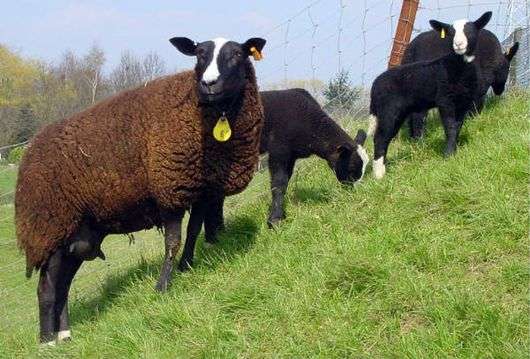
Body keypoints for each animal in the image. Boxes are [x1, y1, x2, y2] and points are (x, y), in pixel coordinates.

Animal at [16, 35, 266, 346]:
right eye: (199, 54)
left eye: (237, 54)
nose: (209, 84)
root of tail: (27, 154)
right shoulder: (169, 189)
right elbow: (172, 242)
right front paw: (162, 287)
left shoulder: (200, 190)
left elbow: (193, 232)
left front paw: (187, 266)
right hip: (50, 226)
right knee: (46, 287)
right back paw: (47, 340)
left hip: (77, 236)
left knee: (62, 284)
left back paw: (65, 334)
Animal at [368, 11, 490, 180]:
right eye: (450, 33)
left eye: (470, 31)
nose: (458, 44)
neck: (458, 67)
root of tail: (375, 85)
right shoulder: (445, 100)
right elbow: (450, 126)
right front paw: (448, 155)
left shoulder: (463, 102)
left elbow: (458, 126)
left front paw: (454, 150)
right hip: (388, 109)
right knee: (380, 137)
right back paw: (379, 174)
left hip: (399, 112)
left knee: (386, 136)